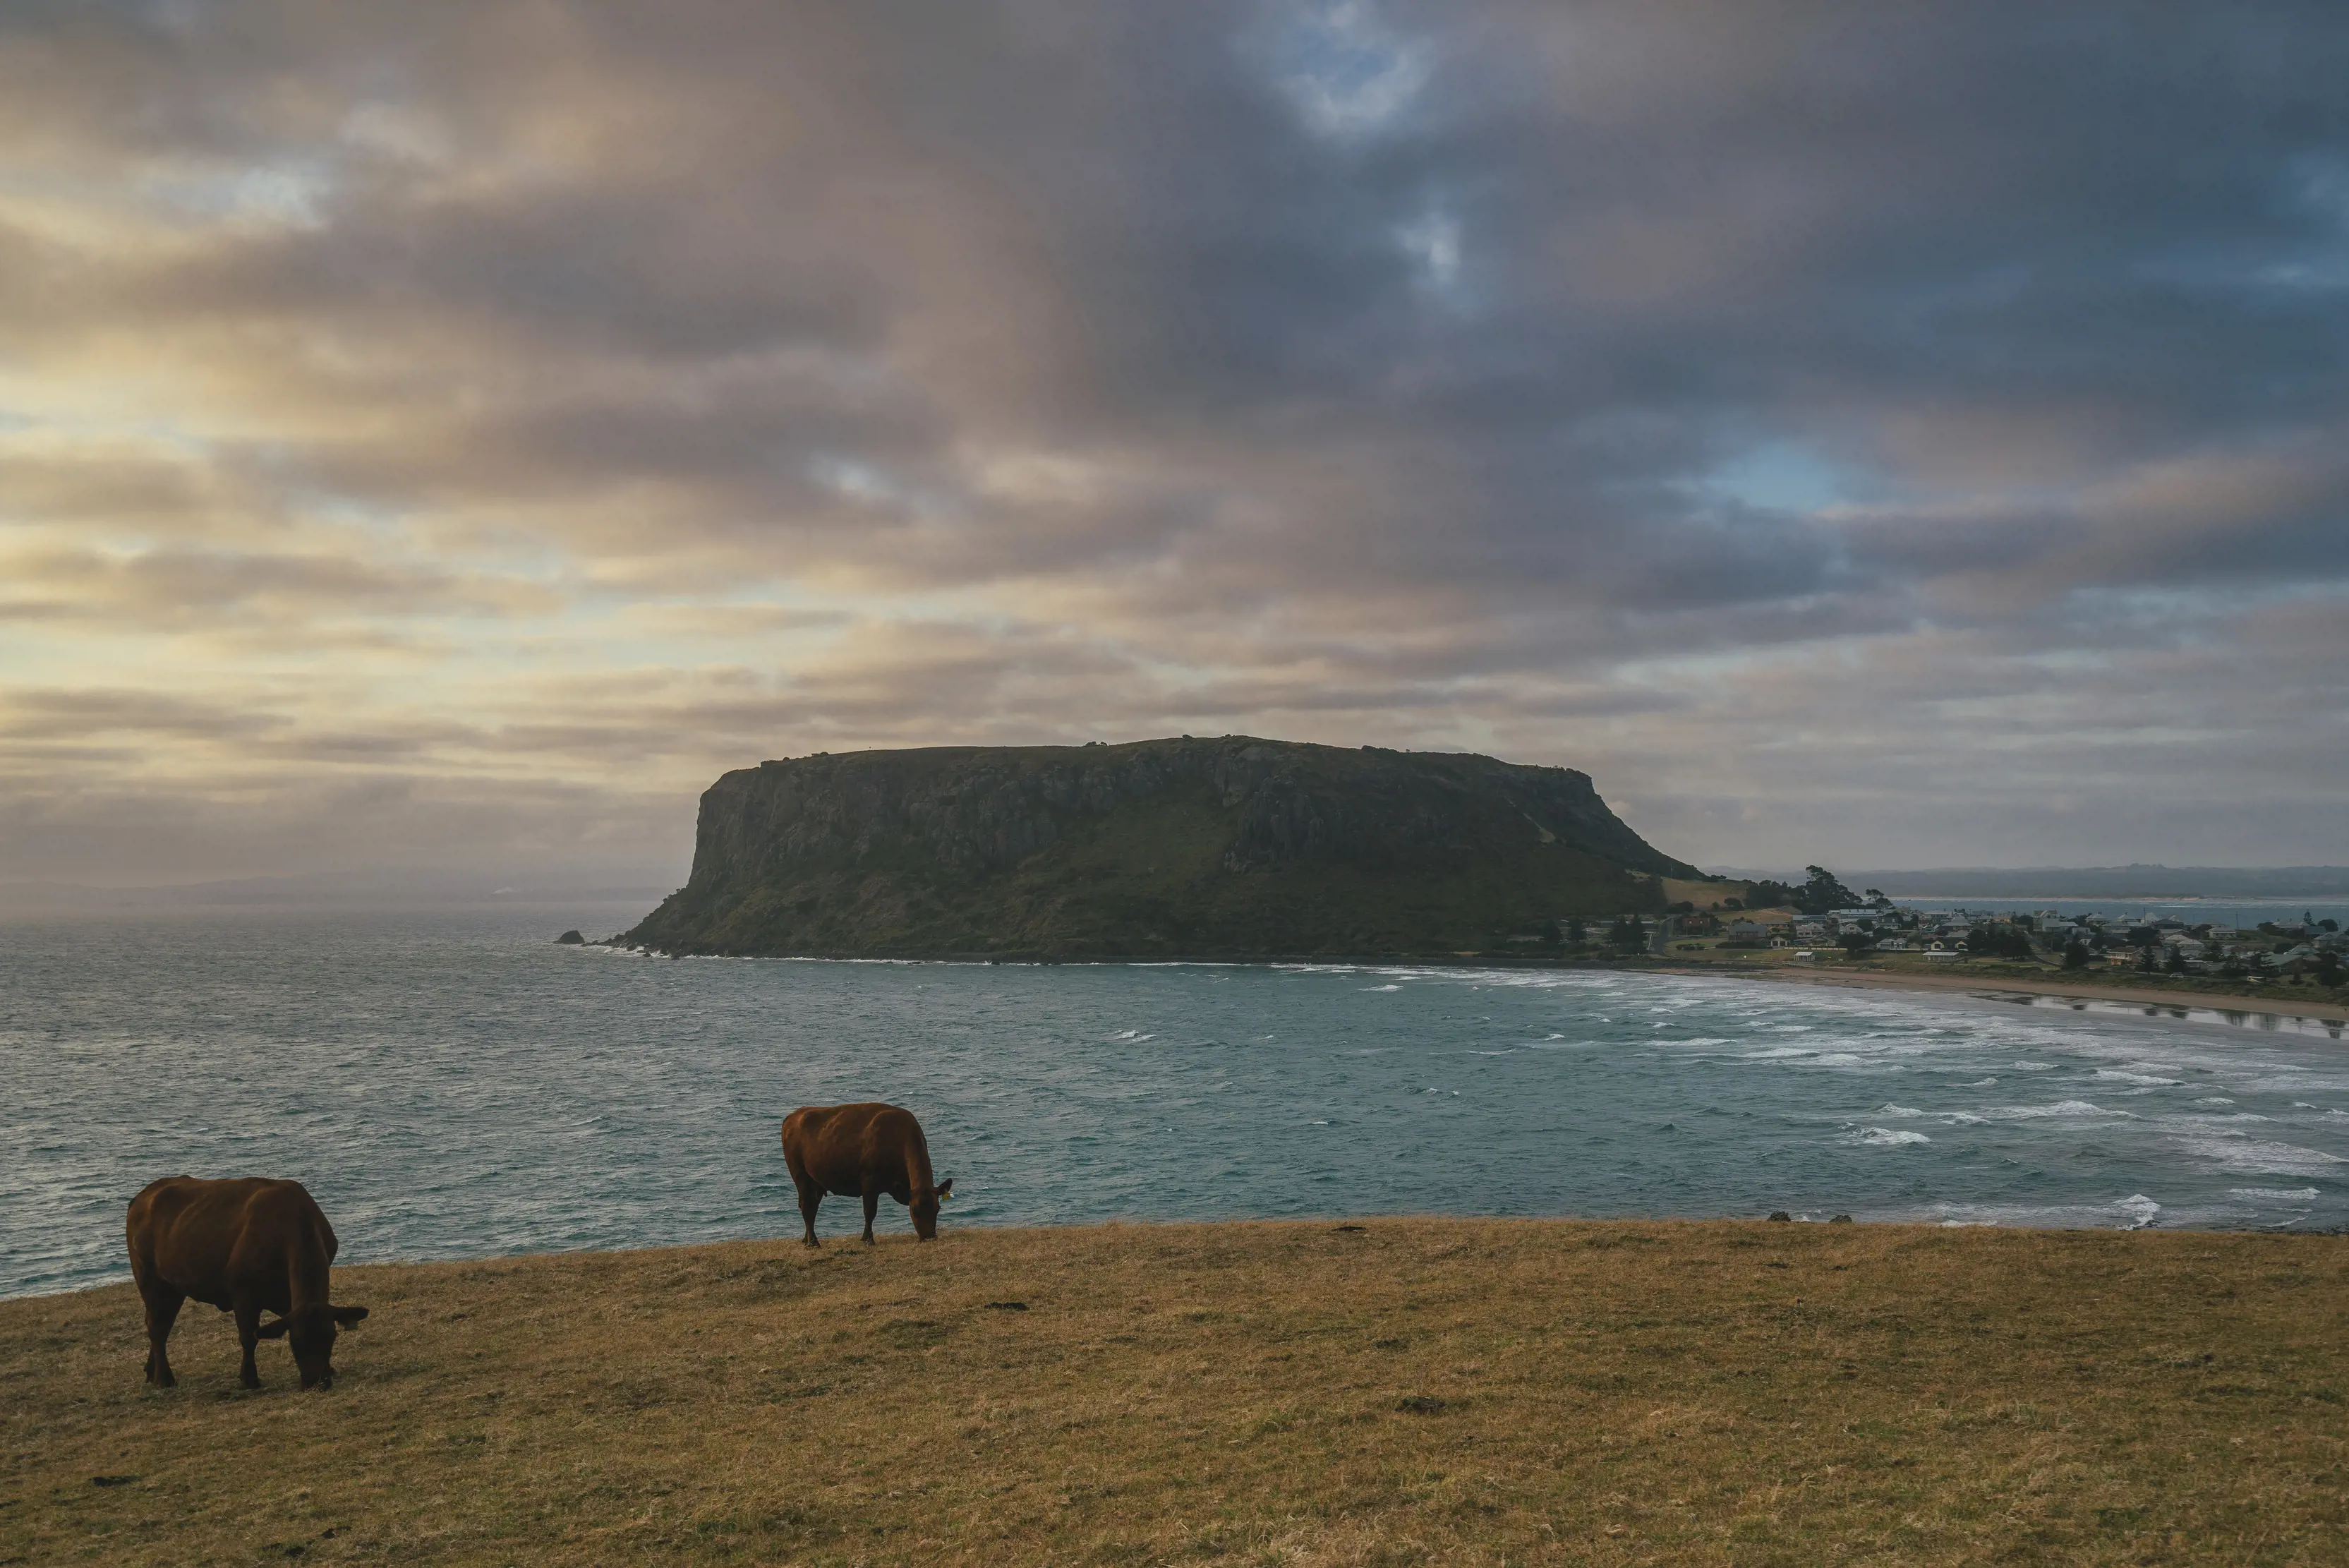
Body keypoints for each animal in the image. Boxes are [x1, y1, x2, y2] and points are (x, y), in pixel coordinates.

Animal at [125, 1175, 366, 1401]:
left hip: (173, 1288)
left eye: (331, 1338)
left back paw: (151, 1371)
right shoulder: (244, 1295)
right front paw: (249, 1379)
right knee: (157, 1327)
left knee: (159, 1325)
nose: (316, 1383)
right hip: (151, 1281)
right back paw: (164, 1378)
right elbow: (249, 1337)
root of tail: (145, 1195)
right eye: (296, 1343)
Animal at [775, 1104, 948, 1250]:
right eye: (915, 1210)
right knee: (806, 1206)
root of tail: (793, 1116)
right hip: (800, 1175)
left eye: (938, 1209)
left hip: (815, 1181)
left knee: (811, 1206)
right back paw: (813, 1243)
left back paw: (807, 1239)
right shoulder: (869, 1182)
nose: (929, 1238)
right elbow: (870, 1212)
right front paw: (868, 1239)